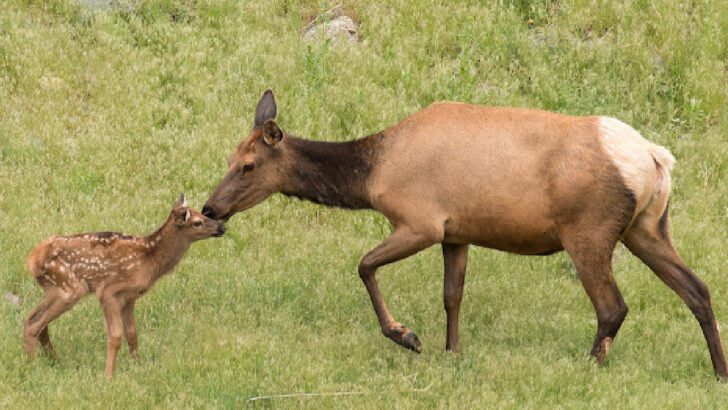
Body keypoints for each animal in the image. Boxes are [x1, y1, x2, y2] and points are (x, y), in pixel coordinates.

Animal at [24, 193, 226, 378]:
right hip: (68, 287)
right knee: (34, 324)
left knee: (34, 321)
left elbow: (132, 334)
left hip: (56, 289)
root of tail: (32, 260)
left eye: (202, 214)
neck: (148, 260)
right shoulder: (108, 291)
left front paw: (139, 367)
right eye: (198, 222)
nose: (222, 226)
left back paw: (53, 363)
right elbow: (115, 336)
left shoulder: (130, 297)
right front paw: (108, 376)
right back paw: (34, 368)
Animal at [201, 89, 728, 379]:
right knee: (698, 289)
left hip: (590, 230)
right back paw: (719, 373)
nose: (210, 208)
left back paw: (587, 370)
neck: (372, 175)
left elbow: (364, 264)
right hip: (647, 227)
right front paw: (452, 354)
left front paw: (407, 336)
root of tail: (656, 159)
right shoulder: (458, 231)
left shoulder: (421, 221)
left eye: (248, 165)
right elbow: (452, 295)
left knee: (613, 307)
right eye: (229, 157)